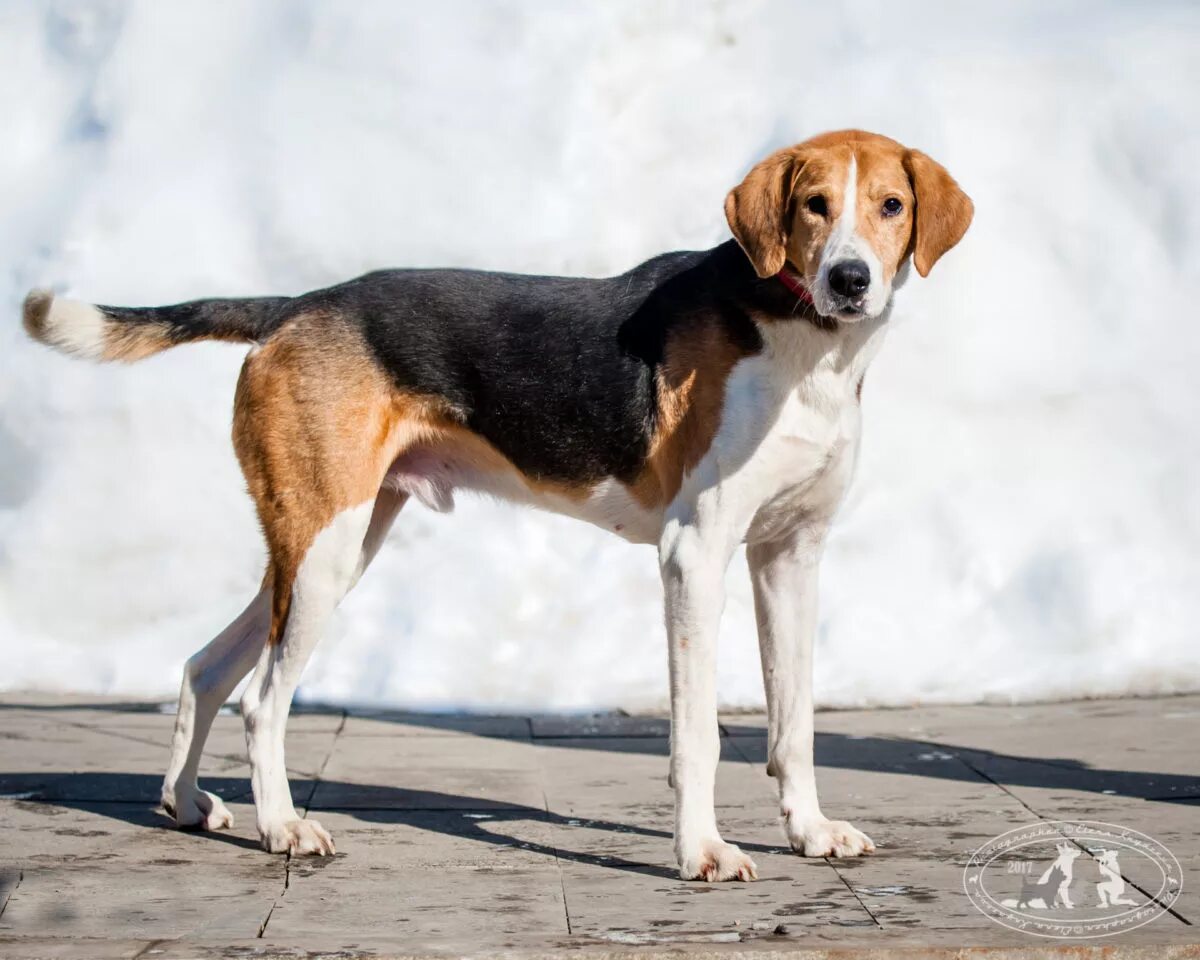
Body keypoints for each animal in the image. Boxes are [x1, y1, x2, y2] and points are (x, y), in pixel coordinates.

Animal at [23, 129, 969, 883]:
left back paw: (186, 805)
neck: (806, 341)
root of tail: (294, 306)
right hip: (324, 553)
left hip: (328, 544)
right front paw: (701, 852)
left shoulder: (790, 557)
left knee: (204, 668)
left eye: (890, 205)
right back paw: (284, 827)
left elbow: (794, 722)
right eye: (814, 206)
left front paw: (810, 833)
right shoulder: (695, 556)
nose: (850, 279)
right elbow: (698, 735)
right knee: (262, 700)